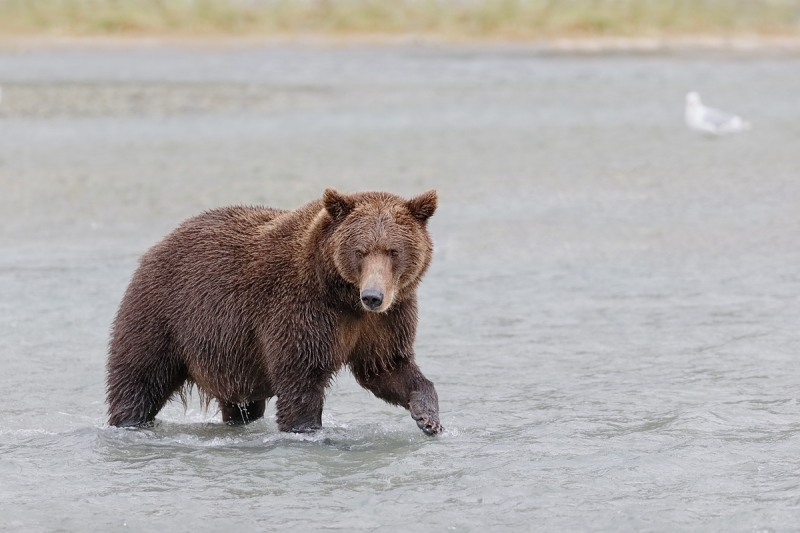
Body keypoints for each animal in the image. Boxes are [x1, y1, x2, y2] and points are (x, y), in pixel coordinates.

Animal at [105, 187, 444, 432]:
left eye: (393, 251)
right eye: (360, 251)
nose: (373, 296)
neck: (342, 296)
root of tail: (158, 245)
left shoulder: (385, 319)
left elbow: (386, 366)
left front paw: (428, 417)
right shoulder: (301, 309)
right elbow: (301, 378)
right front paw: (306, 429)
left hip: (231, 358)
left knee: (240, 404)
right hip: (163, 314)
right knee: (140, 378)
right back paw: (130, 422)